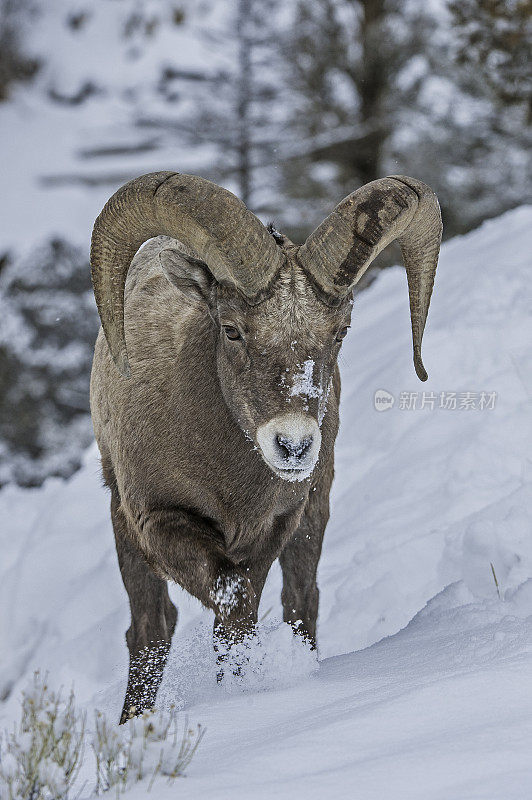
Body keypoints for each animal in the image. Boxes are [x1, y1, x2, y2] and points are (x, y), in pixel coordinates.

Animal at [90, 172, 440, 720]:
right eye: (232, 330)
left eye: (340, 332)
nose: (293, 446)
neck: (227, 482)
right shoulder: (159, 522)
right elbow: (227, 608)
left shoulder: (277, 526)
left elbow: (243, 616)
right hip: (123, 526)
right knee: (151, 630)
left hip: (315, 511)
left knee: (301, 599)